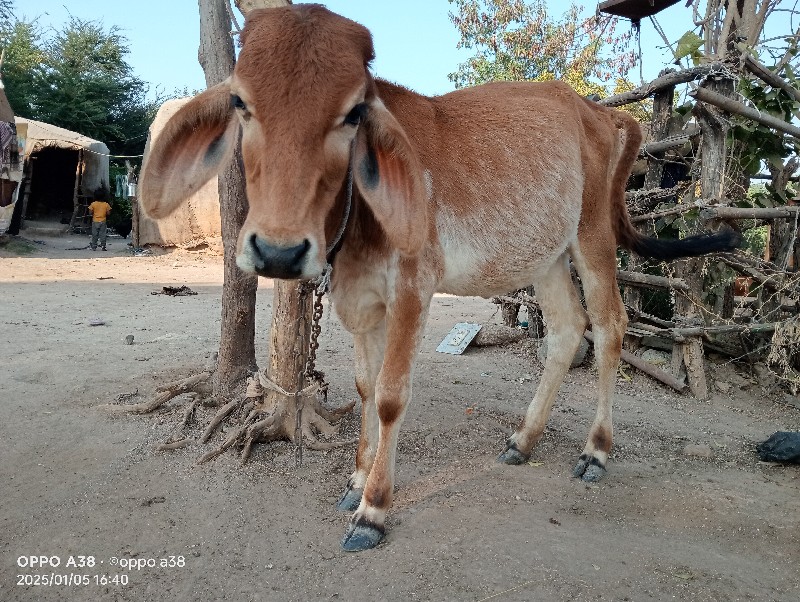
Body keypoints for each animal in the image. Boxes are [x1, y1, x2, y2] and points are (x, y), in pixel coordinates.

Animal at [141, 4, 740, 552]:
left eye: (354, 113)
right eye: (242, 102)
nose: (278, 251)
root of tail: (597, 110)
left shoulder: (413, 288)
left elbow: (389, 396)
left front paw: (373, 509)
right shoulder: (360, 298)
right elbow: (364, 386)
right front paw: (355, 480)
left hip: (592, 238)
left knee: (612, 328)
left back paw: (595, 450)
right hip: (545, 257)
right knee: (567, 331)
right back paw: (523, 440)